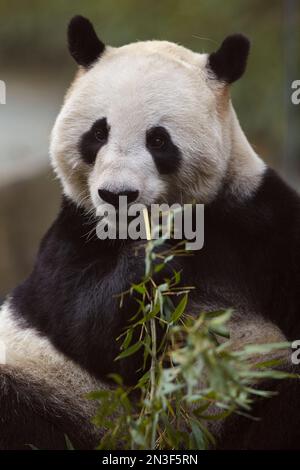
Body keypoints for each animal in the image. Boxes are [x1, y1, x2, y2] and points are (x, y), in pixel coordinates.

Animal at [0, 13, 300, 448]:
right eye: (98, 133)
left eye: (158, 140)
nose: (116, 195)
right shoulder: (71, 233)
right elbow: (87, 328)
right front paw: (159, 254)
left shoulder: (258, 219)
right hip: (59, 391)